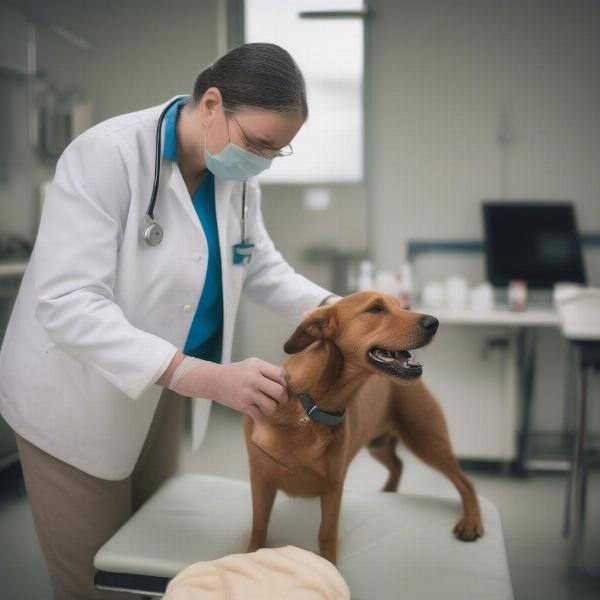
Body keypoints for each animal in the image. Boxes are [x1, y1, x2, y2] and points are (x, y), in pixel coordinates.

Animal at [244, 290, 482, 564]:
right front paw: (249, 553)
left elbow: (326, 534)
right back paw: (389, 491)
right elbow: (259, 527)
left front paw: (329, 566)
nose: (434, 322)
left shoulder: (333, 487)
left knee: (465, 482)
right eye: (376, 309)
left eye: (402, 307)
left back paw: (472, 522)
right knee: (398, 465)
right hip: (382, 445)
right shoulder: (260, 479)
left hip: (427, 441)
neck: (311, 408)